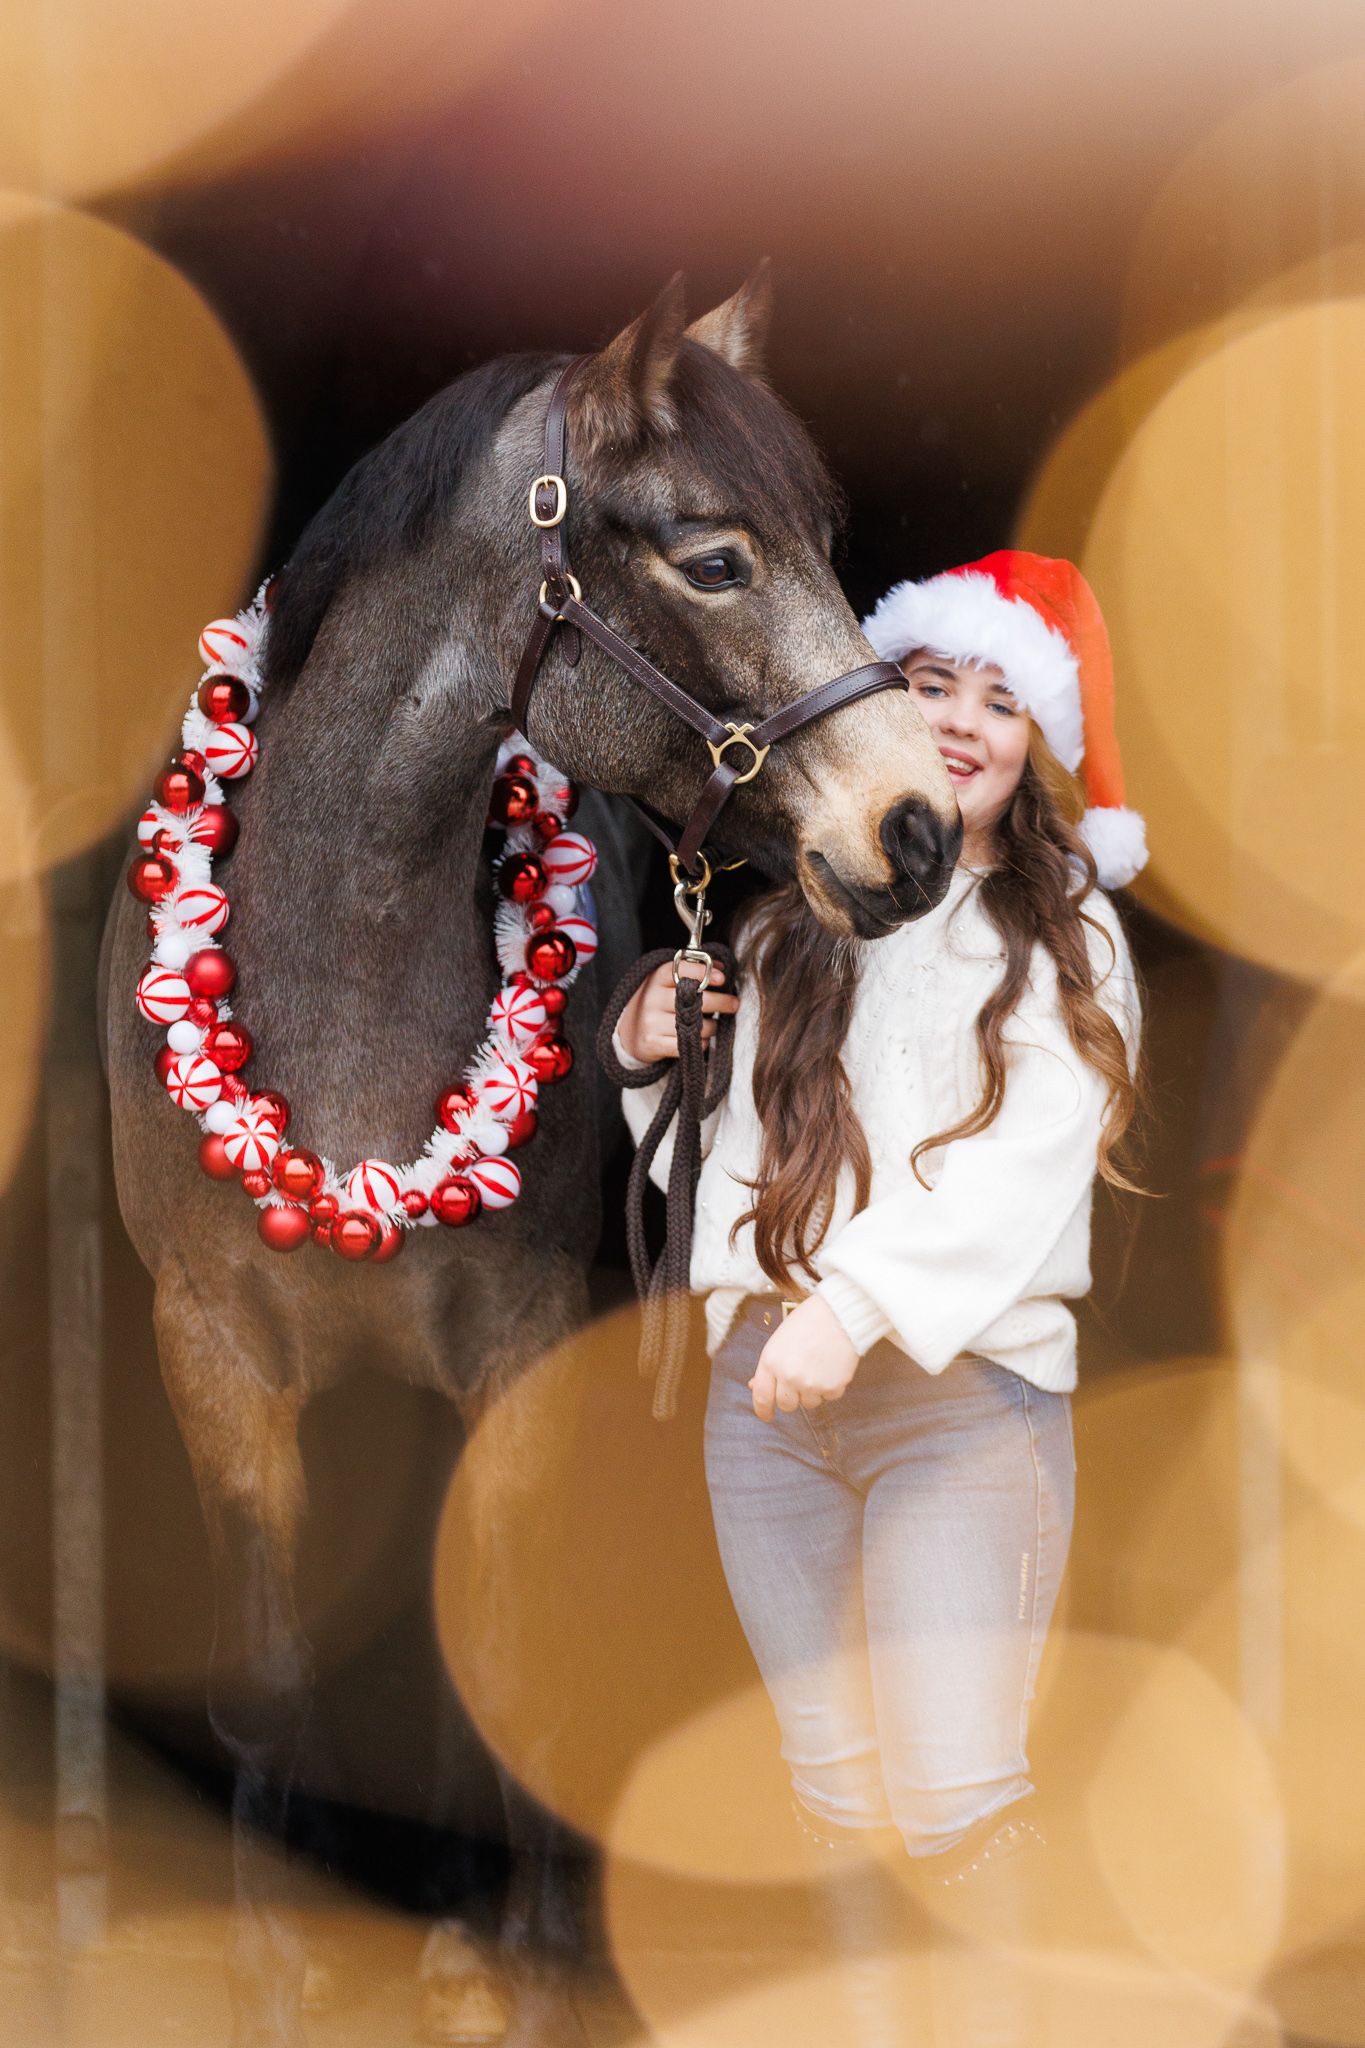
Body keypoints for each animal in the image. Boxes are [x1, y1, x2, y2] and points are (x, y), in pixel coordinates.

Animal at [100, 268, 960, 2046]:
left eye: (827, 537)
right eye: (714, 558)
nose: (913, 833)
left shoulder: (517, 1346)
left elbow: (502, 1647)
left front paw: (538, 1965)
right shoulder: (208, 1350)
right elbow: (267, 1667)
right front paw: (274, 1969)